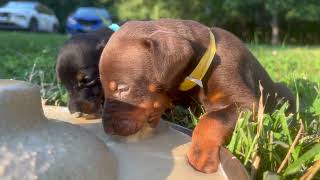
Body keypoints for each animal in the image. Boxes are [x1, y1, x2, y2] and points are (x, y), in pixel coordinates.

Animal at [98, 19, 296, 173]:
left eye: (123, 88)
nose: (107, 128)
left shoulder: (248, 103)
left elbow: (213, 118)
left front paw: (201, 154)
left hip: (284, 93)